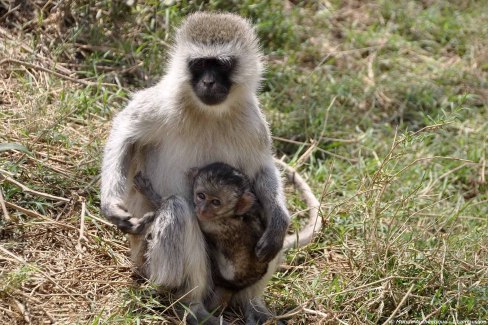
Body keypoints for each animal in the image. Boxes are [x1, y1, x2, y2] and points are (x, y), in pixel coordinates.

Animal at [133, 163, 268, 308]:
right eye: (201, 196)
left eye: (216, 202)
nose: (203, 210)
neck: (232, 215)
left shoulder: (218, 223)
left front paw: (149, 193)